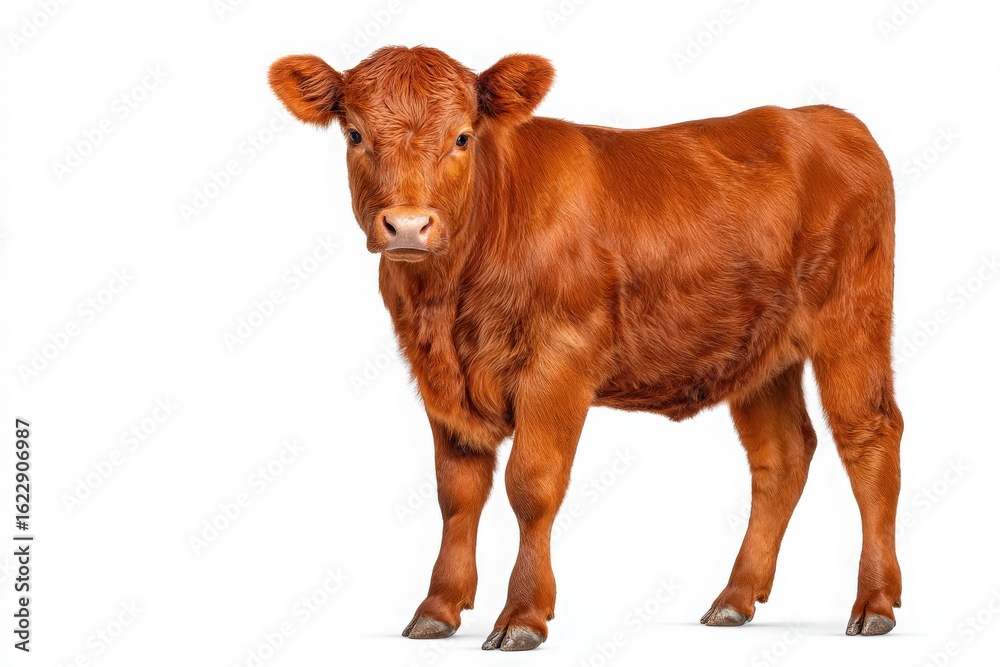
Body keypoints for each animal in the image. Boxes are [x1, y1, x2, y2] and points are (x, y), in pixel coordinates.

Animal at [268, 45, 903, 651]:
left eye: (462, 137)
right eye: (354, 134)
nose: (406, 226)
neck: (447, 303)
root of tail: (823, 118)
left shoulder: (558, 363)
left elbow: (531, 485)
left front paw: (523, 614)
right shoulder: (439, 380)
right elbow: (457, 493)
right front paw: (438, 609)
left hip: (852, 325)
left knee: (869, 439)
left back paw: (874, 603)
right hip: (759, 356)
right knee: (783, 455)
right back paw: (735, 599)